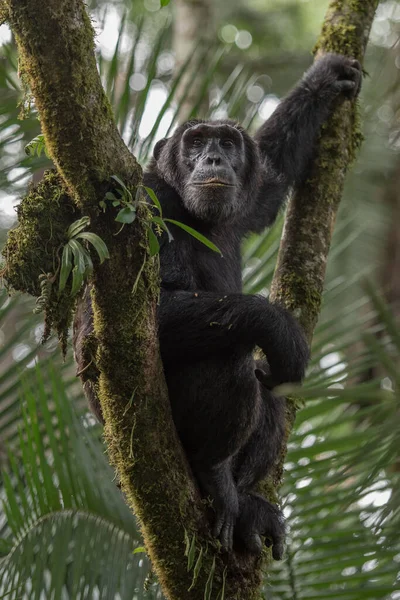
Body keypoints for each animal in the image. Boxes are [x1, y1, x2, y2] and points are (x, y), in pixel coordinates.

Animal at [72, 54, 362, 560]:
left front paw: (325, 78)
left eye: (227, 141)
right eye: (196, 141)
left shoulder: (247, 202)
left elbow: (270, 179)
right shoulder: (147, 205)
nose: (213, 157)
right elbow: (135, 317)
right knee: (232, 356)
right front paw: (284, 331)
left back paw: (247, 505)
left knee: (270, 387)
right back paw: (213, 475)